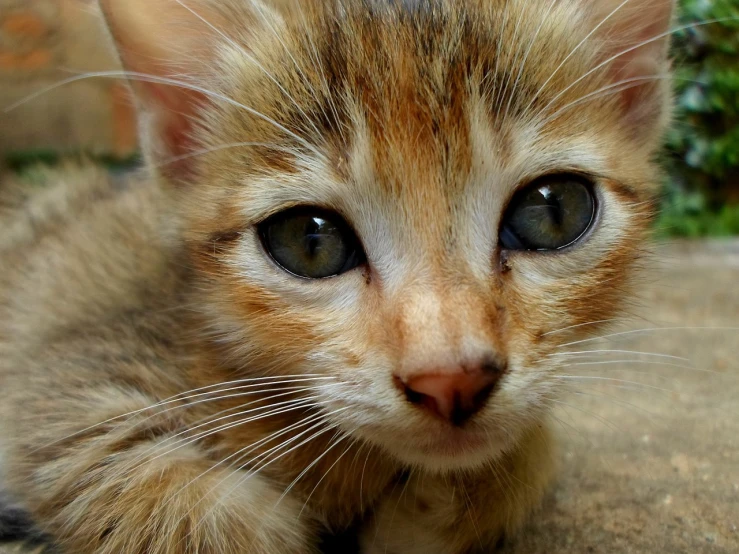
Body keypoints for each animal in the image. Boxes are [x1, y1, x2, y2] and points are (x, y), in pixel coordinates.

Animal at [0, 0, 672, 548]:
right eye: (309, 241)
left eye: (552, 211)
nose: (450, 380)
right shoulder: (65, 388)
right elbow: (186, 509)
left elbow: (525, 453)